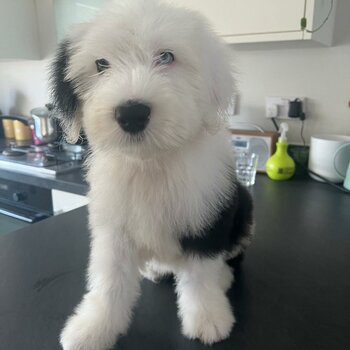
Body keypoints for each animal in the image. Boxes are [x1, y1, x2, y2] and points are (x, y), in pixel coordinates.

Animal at [50, 0, 254, 350]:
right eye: (101, 64)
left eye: (166, 57)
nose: (132, 113)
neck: (151, 163)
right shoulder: (114, 225)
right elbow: (109, 280)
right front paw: (93, 327)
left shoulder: (205, 215)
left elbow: (200, 276)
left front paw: (208, 319)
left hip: (243, 205)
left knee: (230, 254)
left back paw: (224, 277)